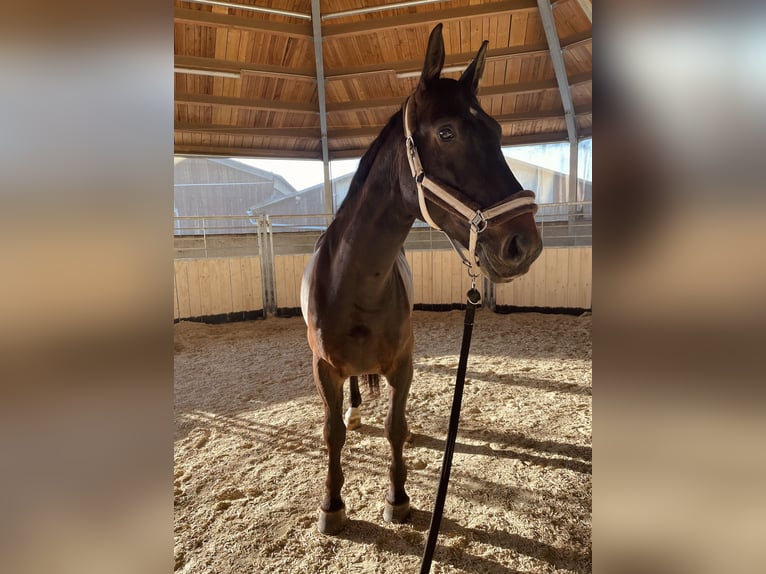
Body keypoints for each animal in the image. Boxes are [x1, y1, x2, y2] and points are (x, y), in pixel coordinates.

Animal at [300, 22, 544, 536]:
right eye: (446, 132)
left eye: (496, 131)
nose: (524, 243)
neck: (354, 285)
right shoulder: (323, 369)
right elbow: (332, 433)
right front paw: (332, 505)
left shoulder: (404, 364)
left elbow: (394, 428)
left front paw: (398, 498)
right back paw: (355, 410)